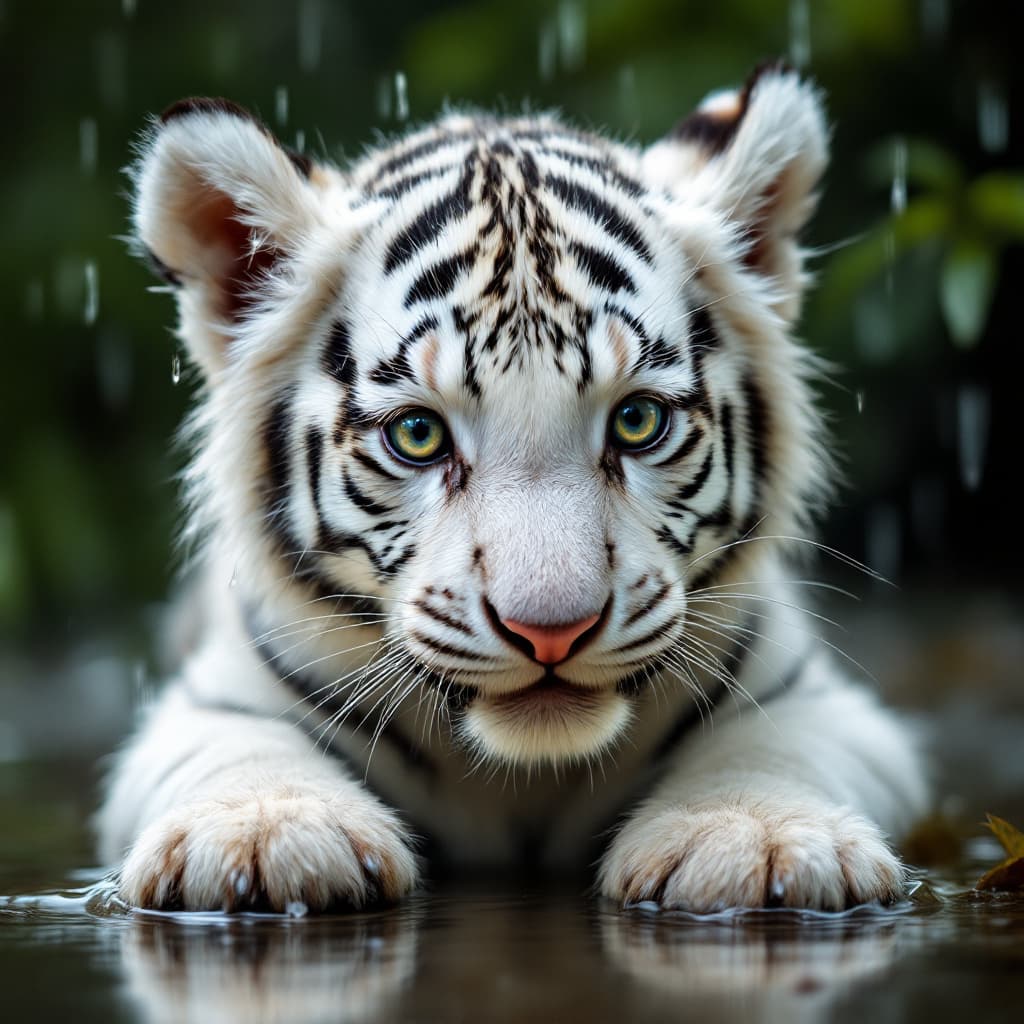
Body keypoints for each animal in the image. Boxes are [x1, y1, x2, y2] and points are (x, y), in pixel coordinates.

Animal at [97, 64, 928, 914]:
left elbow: (769, 744)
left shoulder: (815, 699)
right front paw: (263, 835)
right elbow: (241, 747)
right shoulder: (214, 699)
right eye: (418, 434)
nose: (552, 632)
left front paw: (755, 837)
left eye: (637, 421)